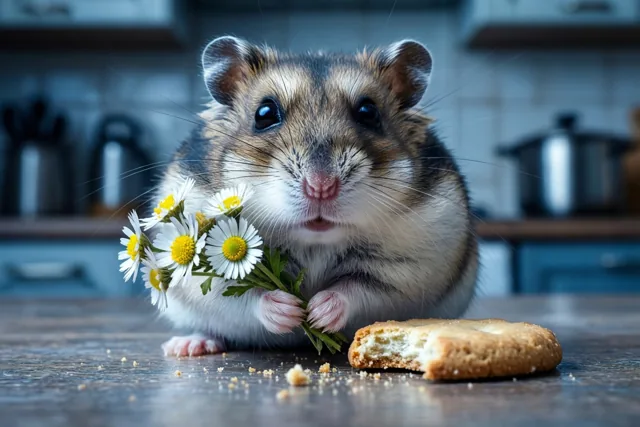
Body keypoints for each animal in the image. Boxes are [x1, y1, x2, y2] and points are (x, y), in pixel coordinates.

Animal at [156, 36, 478, 357]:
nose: (320, 186)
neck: (314, 241)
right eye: (264, 114)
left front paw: (316, 312)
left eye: (369, 113)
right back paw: (188, 346)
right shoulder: (207, 281)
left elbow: (358, 289)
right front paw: (292, 311)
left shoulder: (407, 269)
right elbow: (245, 296)